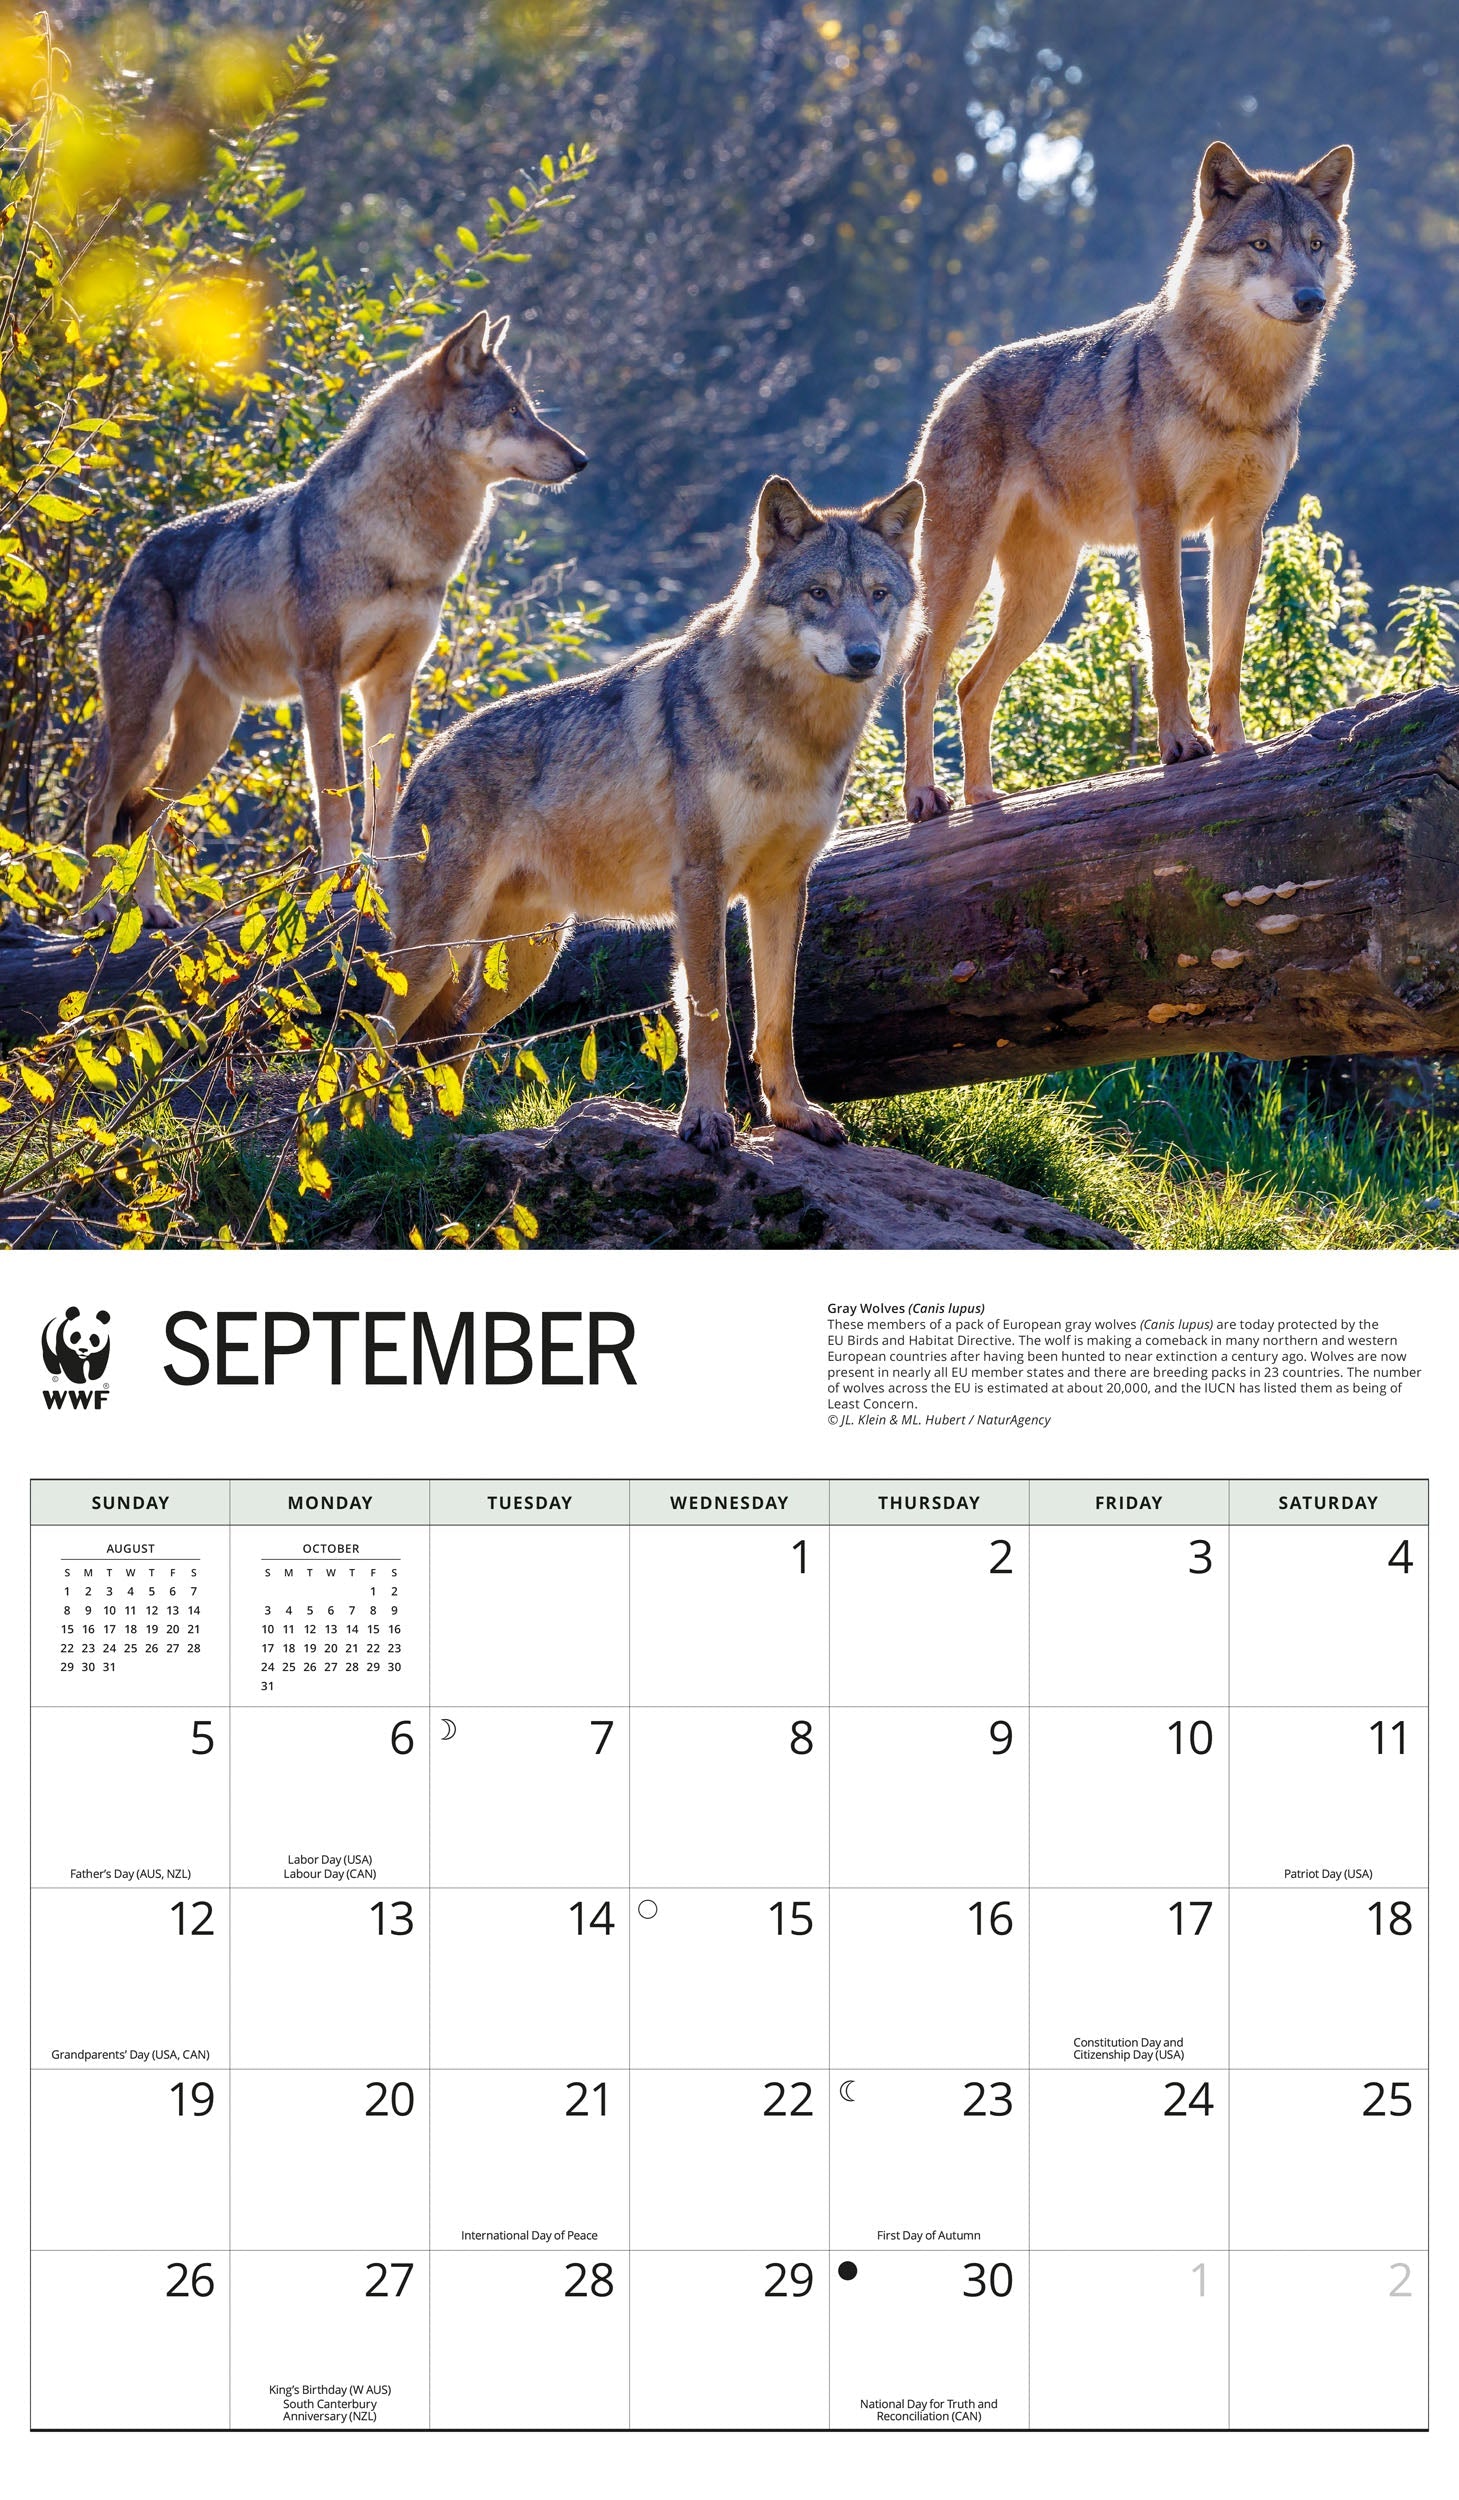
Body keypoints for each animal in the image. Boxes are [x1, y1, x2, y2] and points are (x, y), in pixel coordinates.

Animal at [81, 312, 586, 924]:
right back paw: (96, 914)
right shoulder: (319, 678)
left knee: (141, 818)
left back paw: (149, 913)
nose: (582, 460)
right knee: (102, 812)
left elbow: (384, 802)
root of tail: (136, 558)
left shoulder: (390, 683)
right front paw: (334, 880)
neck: (404, 543)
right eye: (514, 411)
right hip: (145, 725)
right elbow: (334, 797)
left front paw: (385, 882)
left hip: (208, 739)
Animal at [376, 474, 924, 1151]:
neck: (794, 736)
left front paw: (793, 1114)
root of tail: (424, 757)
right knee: (371, 1037)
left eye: (878, 596)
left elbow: (778, 1020)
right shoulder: (701, 883)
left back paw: (448, 1128)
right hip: (437, 952)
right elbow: (710, 1017)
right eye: (818, 594)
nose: (865, 654)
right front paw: (706, 1121)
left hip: (524, 963)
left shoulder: (782, 888)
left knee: (451, 1040)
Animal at [901, 140, 1355, 820]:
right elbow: (1170, 647)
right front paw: (1180, 745)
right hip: (961, 579)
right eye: (1261, 245)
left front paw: (1236, 747)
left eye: (1315, 244)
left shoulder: (1241, 528)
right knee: (918, 680)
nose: (1309, 299)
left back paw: (984, 799)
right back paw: (925, 797)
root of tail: (954, 385)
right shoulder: (1158, 519)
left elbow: (1227, 658)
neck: (1241, 390)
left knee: (972, 685)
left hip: (1044, 596)